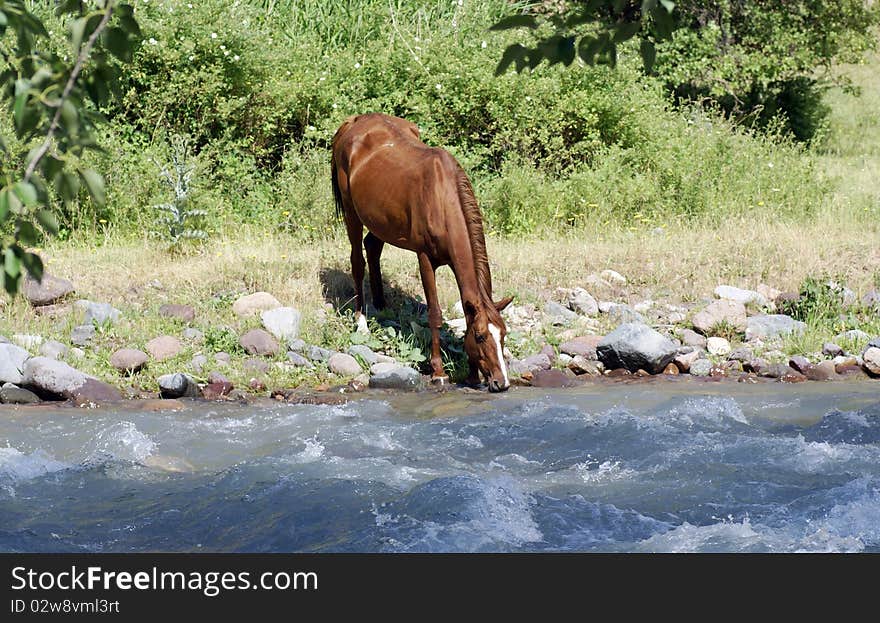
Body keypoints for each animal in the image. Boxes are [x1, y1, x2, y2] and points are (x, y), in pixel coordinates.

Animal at [330, 113, 512, 390]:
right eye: (481, 337)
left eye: (502, 335)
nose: (501, 383)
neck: (442, 199)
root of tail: (355, 121)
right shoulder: (425, 258)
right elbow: (434, 313)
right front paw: (438, 370)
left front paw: (471, 374)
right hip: (352, 213)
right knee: (357, 262)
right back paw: (362, 322)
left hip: (380, 221)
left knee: (372, 246)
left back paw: (382, 306)